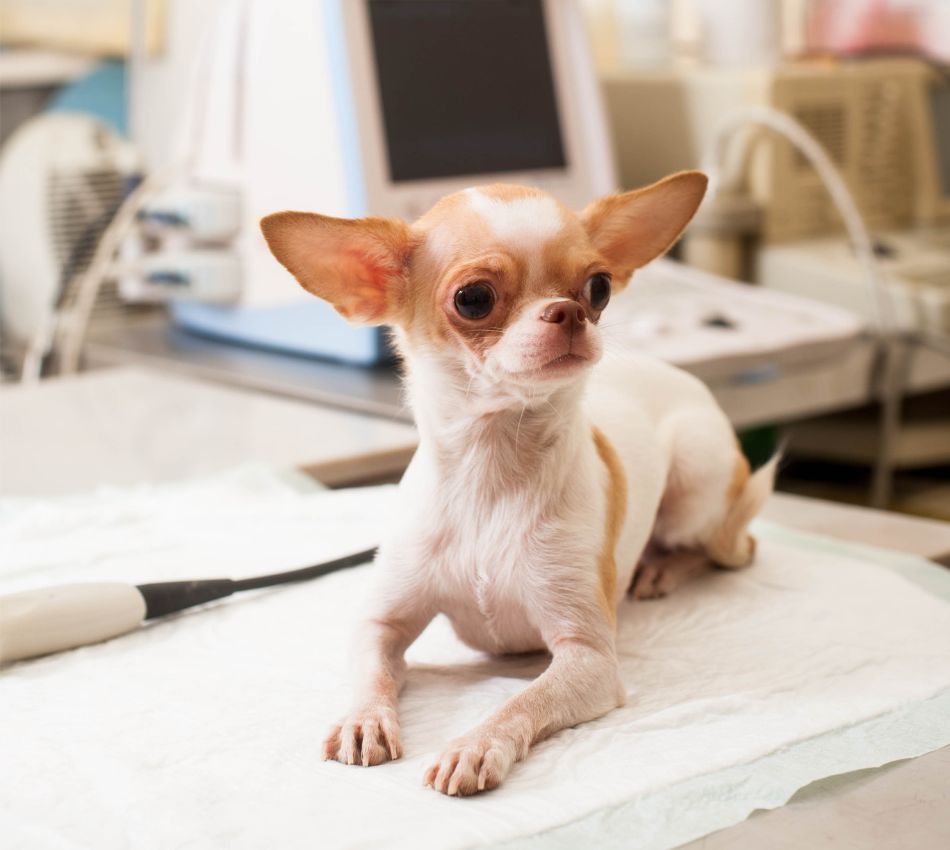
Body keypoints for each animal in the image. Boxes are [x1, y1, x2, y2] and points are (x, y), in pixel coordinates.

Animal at [262, 172, 780, 796]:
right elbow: (373, 674)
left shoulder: (589, 658)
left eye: (599, 288)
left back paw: (661, 567)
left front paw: (475, 745)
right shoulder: (380, 624)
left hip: (697, 476)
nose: (569, 311)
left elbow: (522, 701)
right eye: (473, 299)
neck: (492, 471)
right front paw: (363, 717)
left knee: (729, 546)